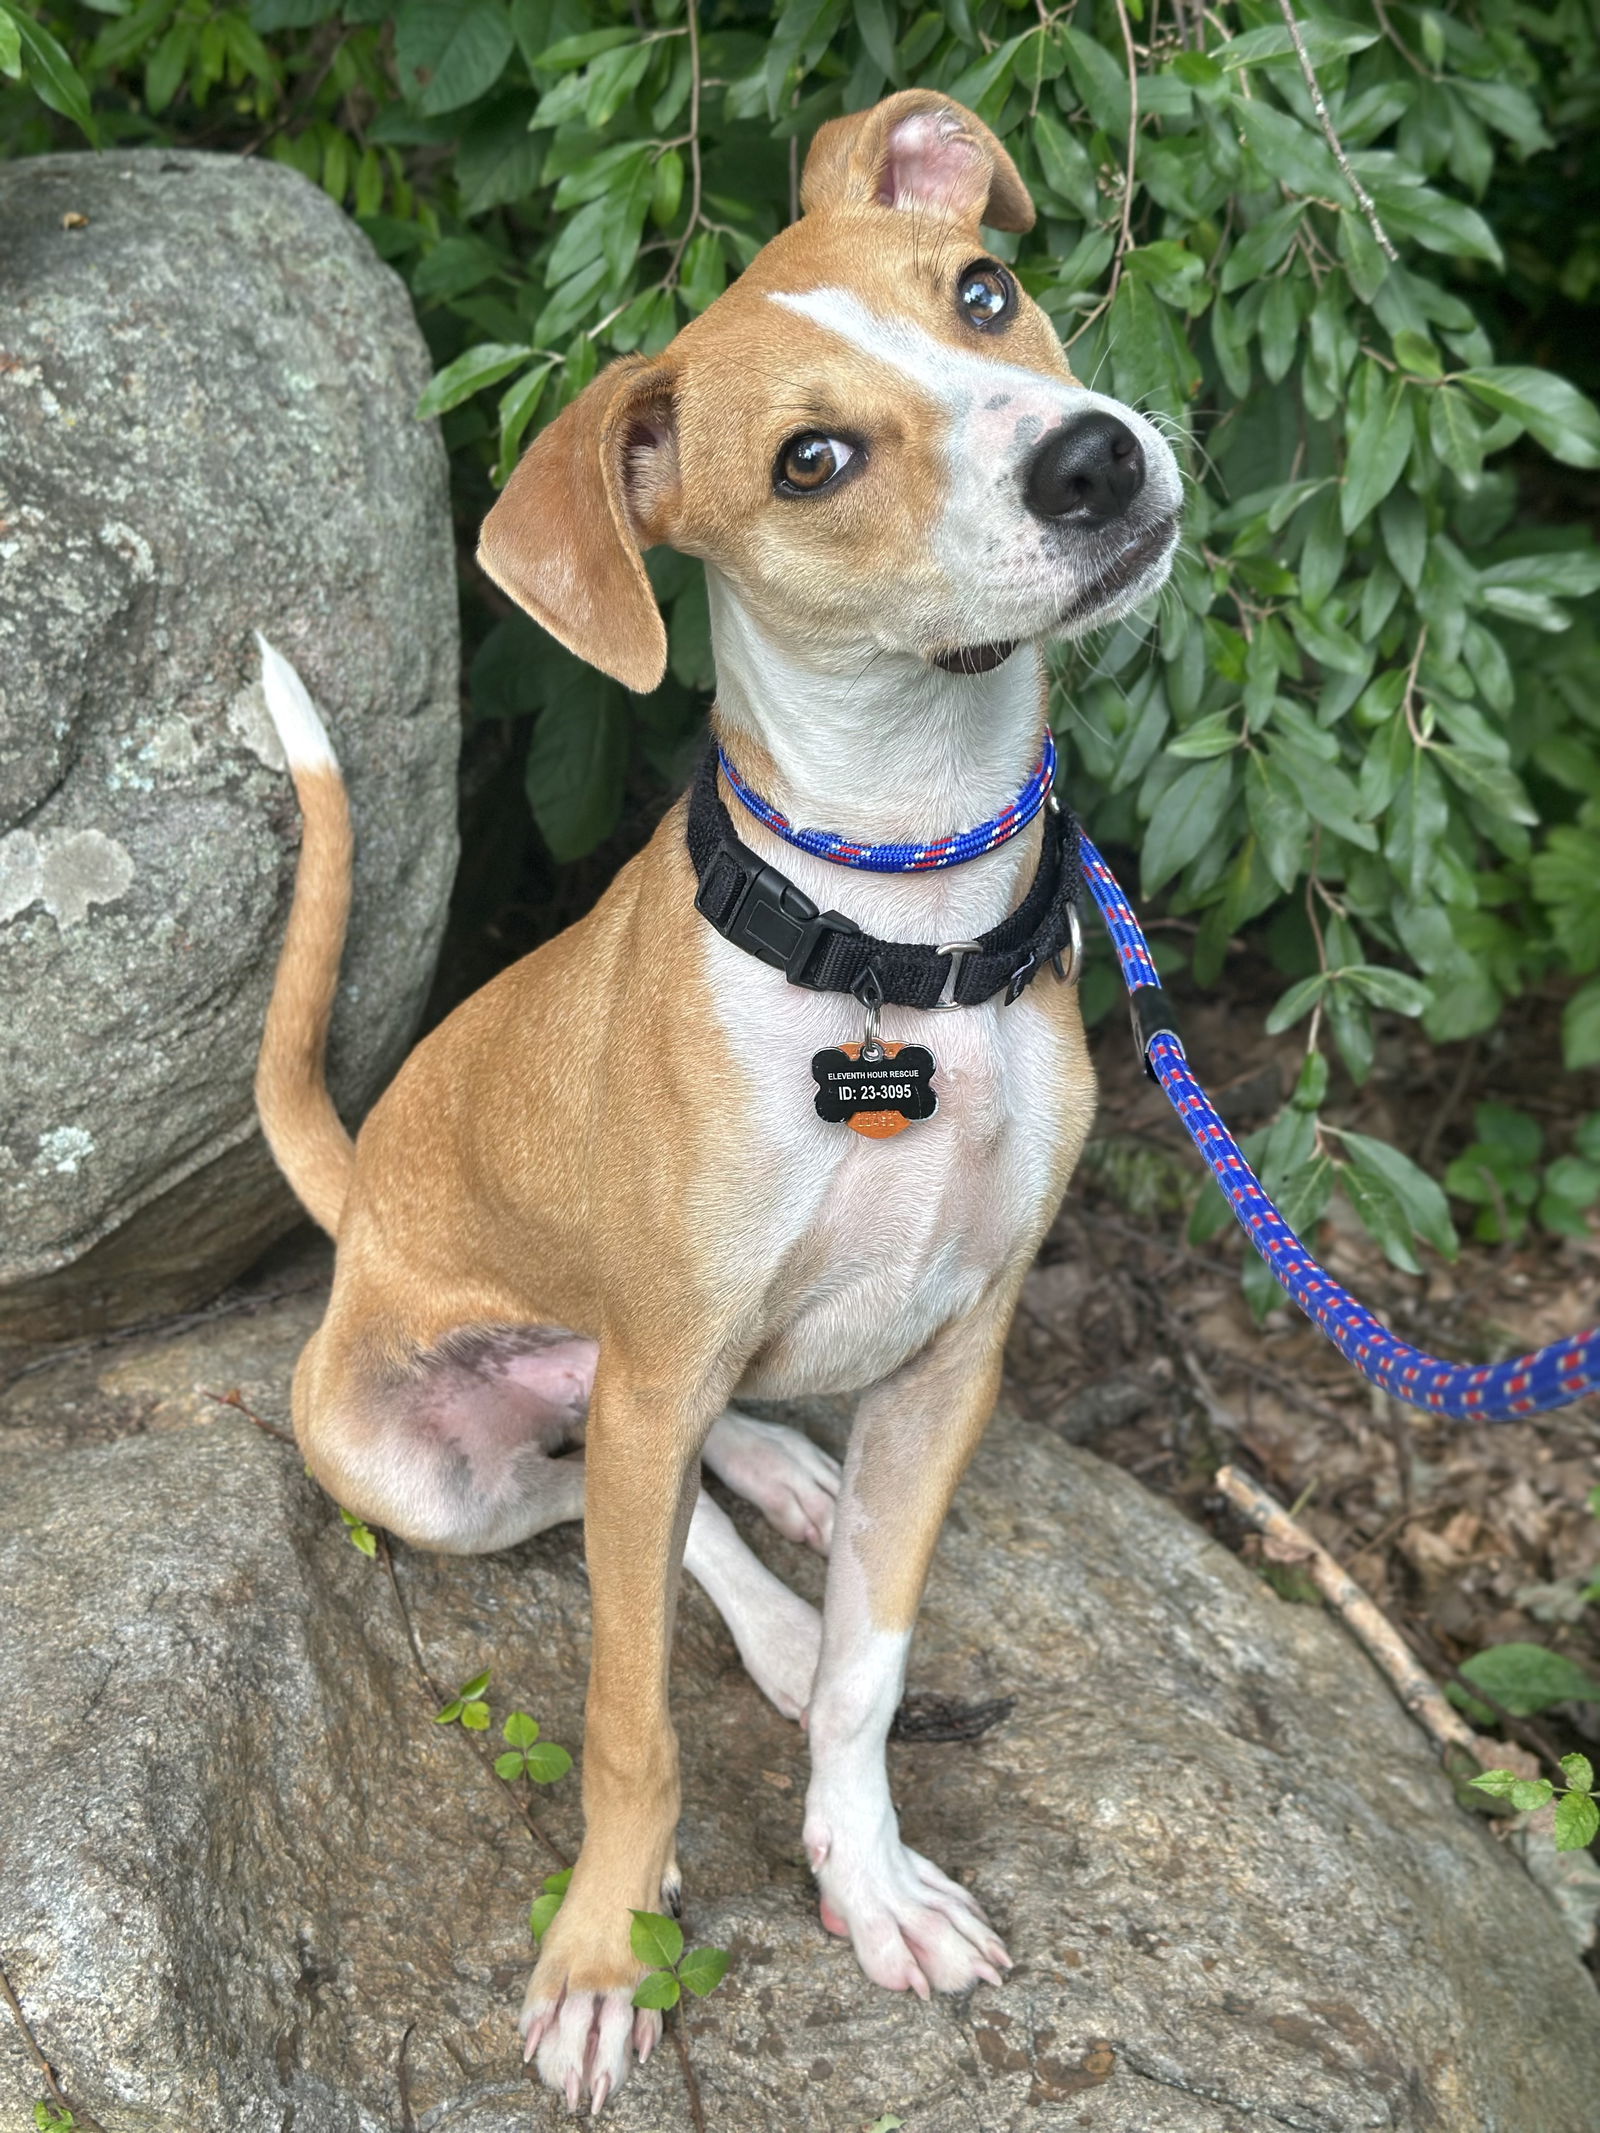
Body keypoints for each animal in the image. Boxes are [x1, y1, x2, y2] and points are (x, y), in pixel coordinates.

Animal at [253, 87, 1177, 2115]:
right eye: (812, 458)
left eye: (981, 290)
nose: (1092, 458)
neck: (898, 936)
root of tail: (359, 1207)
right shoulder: (666, 1360)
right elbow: (627, 1717)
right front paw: (609, 1952)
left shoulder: (957, 1355)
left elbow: (871, 1674)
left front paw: (872, 1872)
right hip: (417, 1461)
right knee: (601, 1507)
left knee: (669, 1487)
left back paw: (779, 1486)